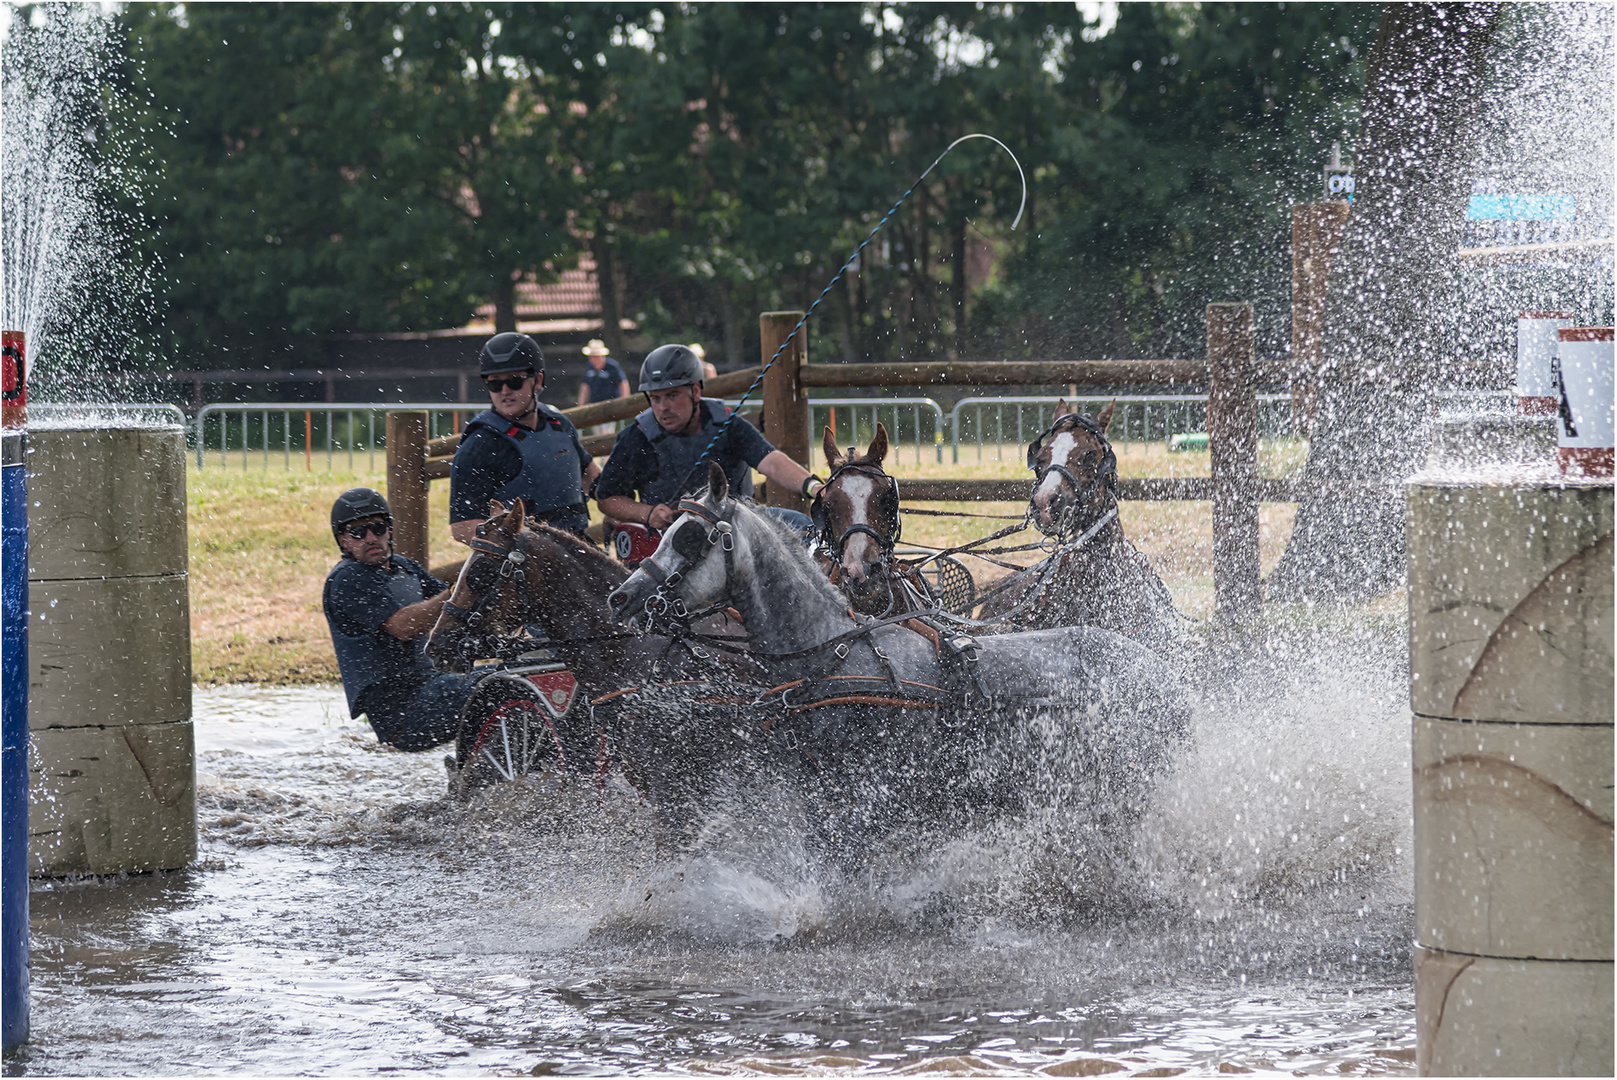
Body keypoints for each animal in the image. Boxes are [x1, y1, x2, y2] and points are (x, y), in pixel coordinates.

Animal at [607, 465, 1190, 860]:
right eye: (664, 529)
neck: (836, 658)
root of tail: (1163, 674)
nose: (622, 597)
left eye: (689, 537)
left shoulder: (868, 801)